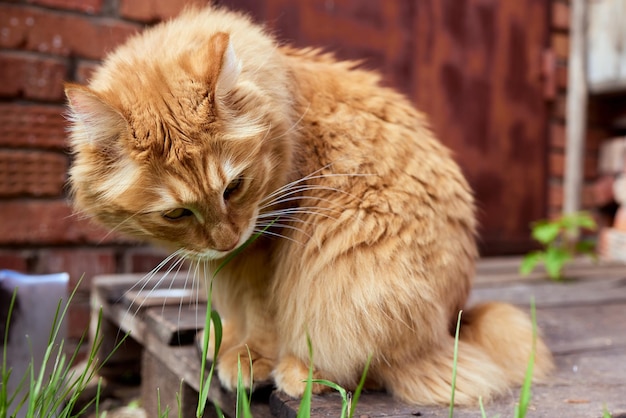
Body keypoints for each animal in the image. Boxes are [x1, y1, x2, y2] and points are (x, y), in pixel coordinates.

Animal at [64, 5, 552, 404]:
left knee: (372, 370)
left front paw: (248, 359)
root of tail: (453, 324)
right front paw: (221, 340)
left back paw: (300, 372)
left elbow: (261, 315)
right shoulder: (228, 262)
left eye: (234, 188)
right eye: (176, 214)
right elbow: (231, 307)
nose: (226, 239)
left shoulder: (265, 247)